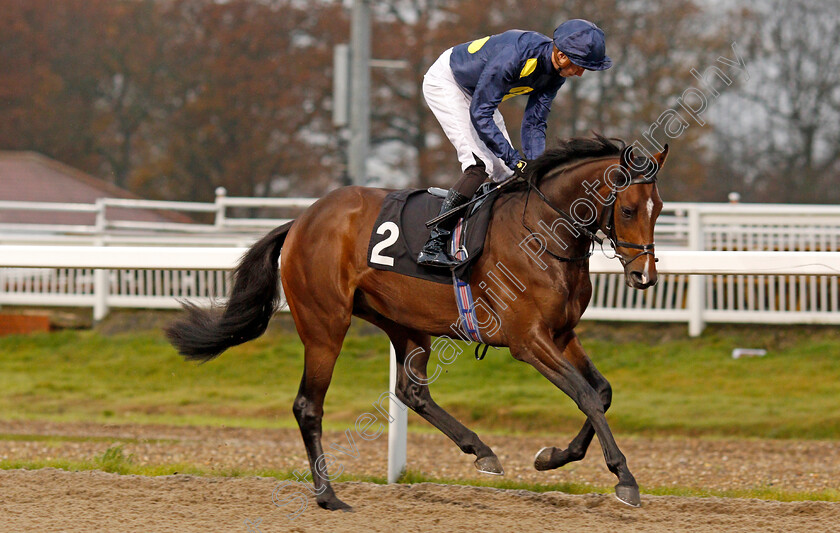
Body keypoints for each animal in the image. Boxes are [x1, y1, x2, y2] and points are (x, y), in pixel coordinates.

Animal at [166, 133, 668, 508]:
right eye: (627, 209)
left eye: (659, 209)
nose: (644, 276)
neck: (544, 233)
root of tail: (302, 220)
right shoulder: (528, 341)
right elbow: (584, 394)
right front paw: (625, 478)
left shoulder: (562, 334)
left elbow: (601, 392)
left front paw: (553, 457)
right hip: (326, 324)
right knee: (308, 405)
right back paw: (328, 495)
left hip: (404, 322)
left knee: (411, 391)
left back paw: (481, 451)